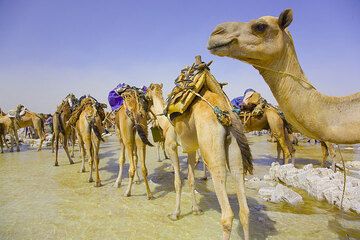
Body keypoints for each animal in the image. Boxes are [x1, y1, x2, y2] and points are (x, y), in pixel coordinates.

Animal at [162, 55, 252, 239]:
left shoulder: (171, 145)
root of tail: (225, 114)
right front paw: (196, 209)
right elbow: (190, 180)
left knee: (227, 215)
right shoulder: (190, 148)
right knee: (244, 210)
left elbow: (178, 181)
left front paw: (175, 214)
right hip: (235, 151)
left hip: (212, 149)